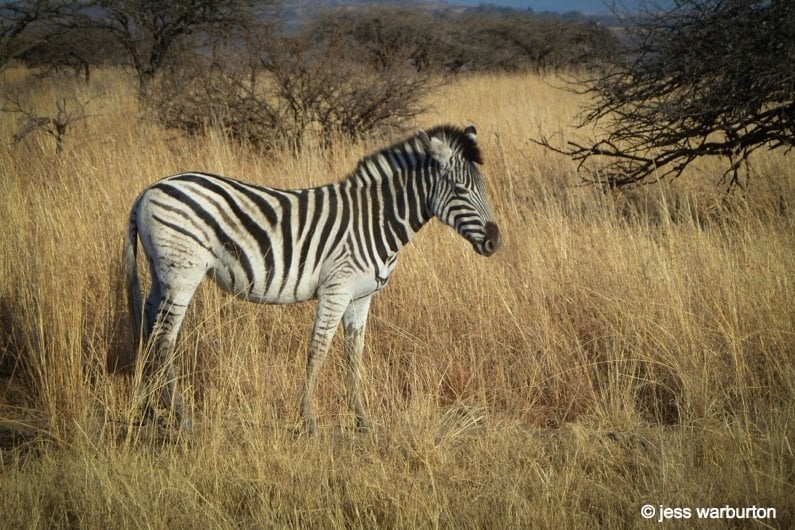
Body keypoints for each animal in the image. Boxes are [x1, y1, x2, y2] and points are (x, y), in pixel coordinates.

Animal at [122, 125, 500, 434]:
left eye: (482, 187)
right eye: (460, 189)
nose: (495, 242)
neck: (376, 220)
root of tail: (147, 191)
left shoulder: (361, 297)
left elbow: (354, 354)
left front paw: (362, 420)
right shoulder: (336, 289)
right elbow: (317, 350)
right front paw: (310, 421)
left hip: (161, 273)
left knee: (147, 324)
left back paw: (149, 407)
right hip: (182, 273)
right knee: (165, 337)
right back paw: (180, 414)